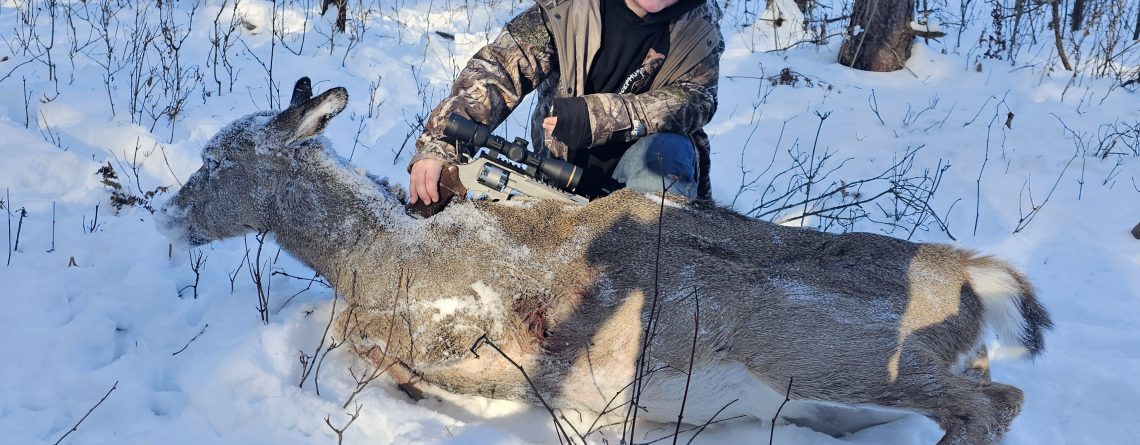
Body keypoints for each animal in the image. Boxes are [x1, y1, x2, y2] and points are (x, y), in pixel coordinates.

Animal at [156, 78, 1053, 444]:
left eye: (216, 159)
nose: (165, 215)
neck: (374, 253)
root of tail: (976, 276)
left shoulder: (479, 320)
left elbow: (352, 340)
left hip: (840, 351)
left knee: (999, 401)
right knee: (985, 391)